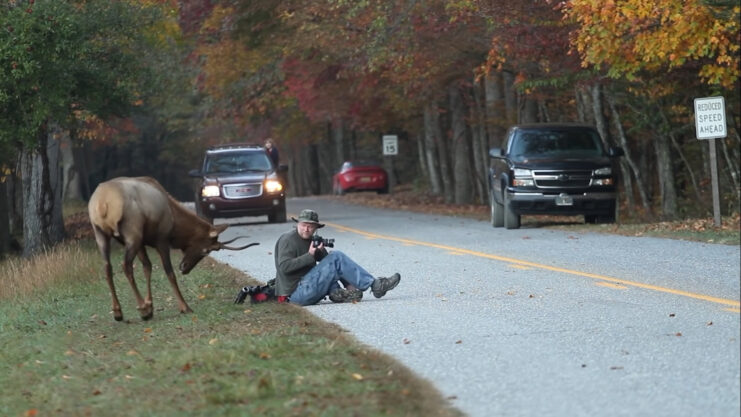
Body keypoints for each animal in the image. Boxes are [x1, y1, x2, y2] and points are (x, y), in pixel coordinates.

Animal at [88, 177, 258, 320]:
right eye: (206, 250)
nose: (185, 268)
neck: (175, 220)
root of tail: (103, 204)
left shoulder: (142, 242)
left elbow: (147, 267)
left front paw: (151, 306)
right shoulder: (162, 239)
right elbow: (169, 272)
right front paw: (184, 307)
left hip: (100, 234)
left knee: (107, 267)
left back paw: (118, 311)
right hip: (132, 232)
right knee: (126, 265)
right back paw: (141, 309)